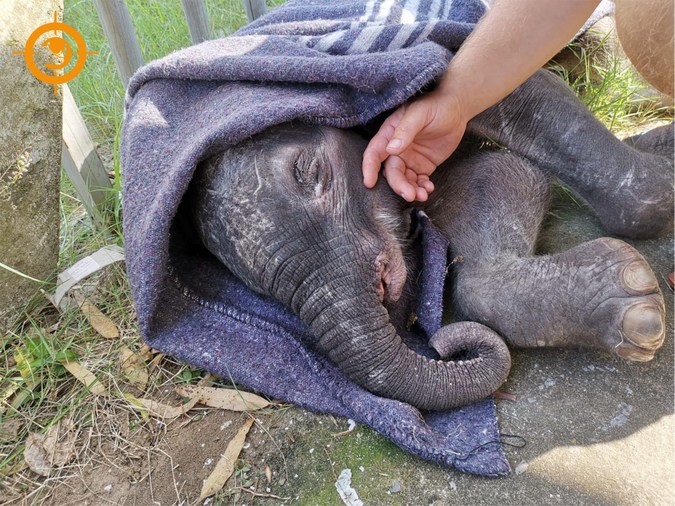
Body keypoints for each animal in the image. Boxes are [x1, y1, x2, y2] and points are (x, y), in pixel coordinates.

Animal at [189, 69, 672, 412]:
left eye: (309, 173)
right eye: (257, 286)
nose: (440, 344)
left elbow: (524, 96)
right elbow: (498, 174)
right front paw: (633, 306)